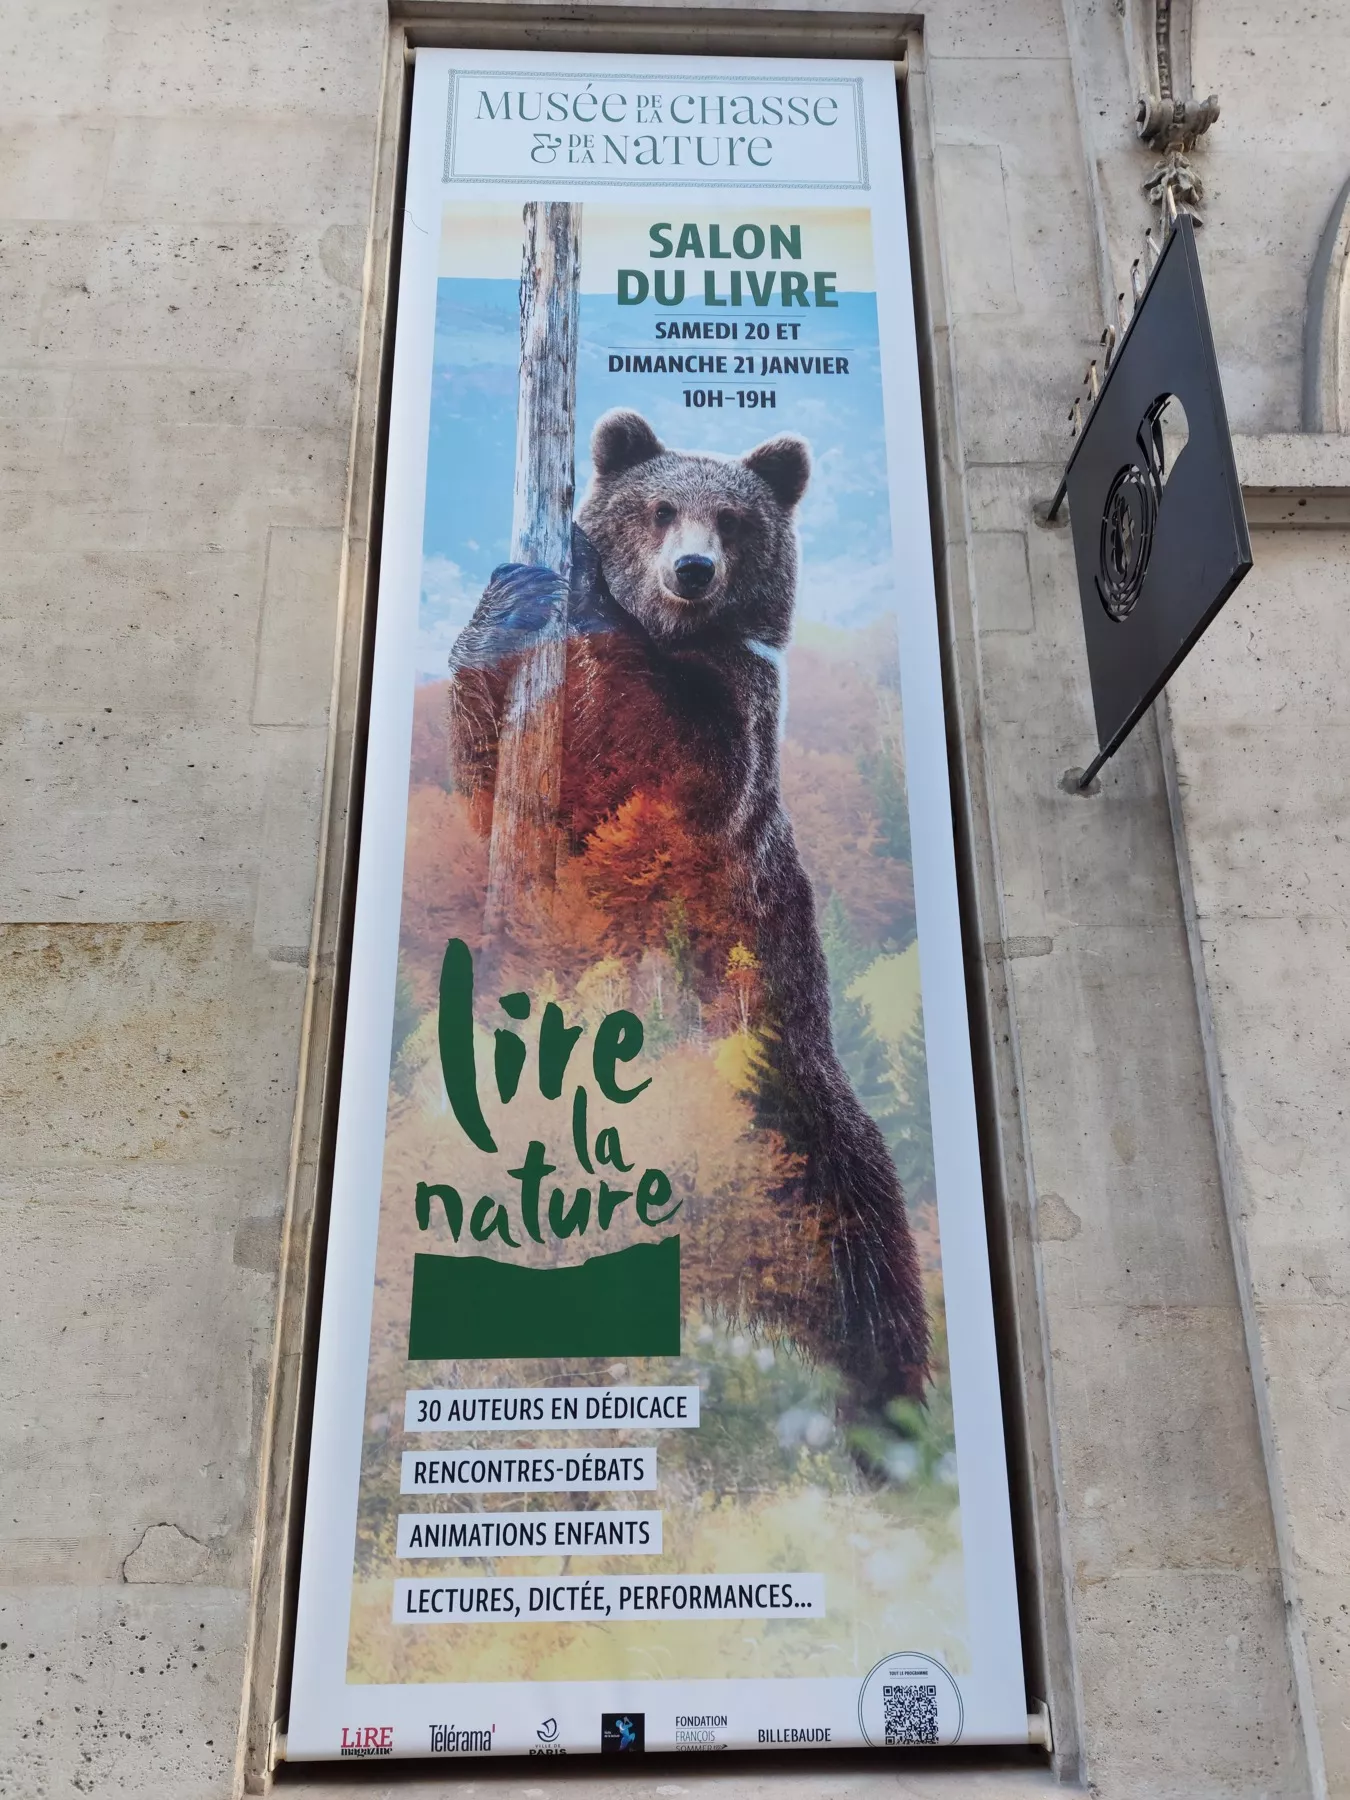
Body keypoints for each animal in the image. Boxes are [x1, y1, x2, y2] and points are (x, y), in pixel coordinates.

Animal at [450, 412, 936, 1404]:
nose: (693, 569)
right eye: (661, 507)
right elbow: (492, 781)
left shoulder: (733, 721)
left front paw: (587, 586)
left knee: (862, 1245)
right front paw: (516, 598)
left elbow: (686, 764)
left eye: (734, 519)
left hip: (788, 1094)